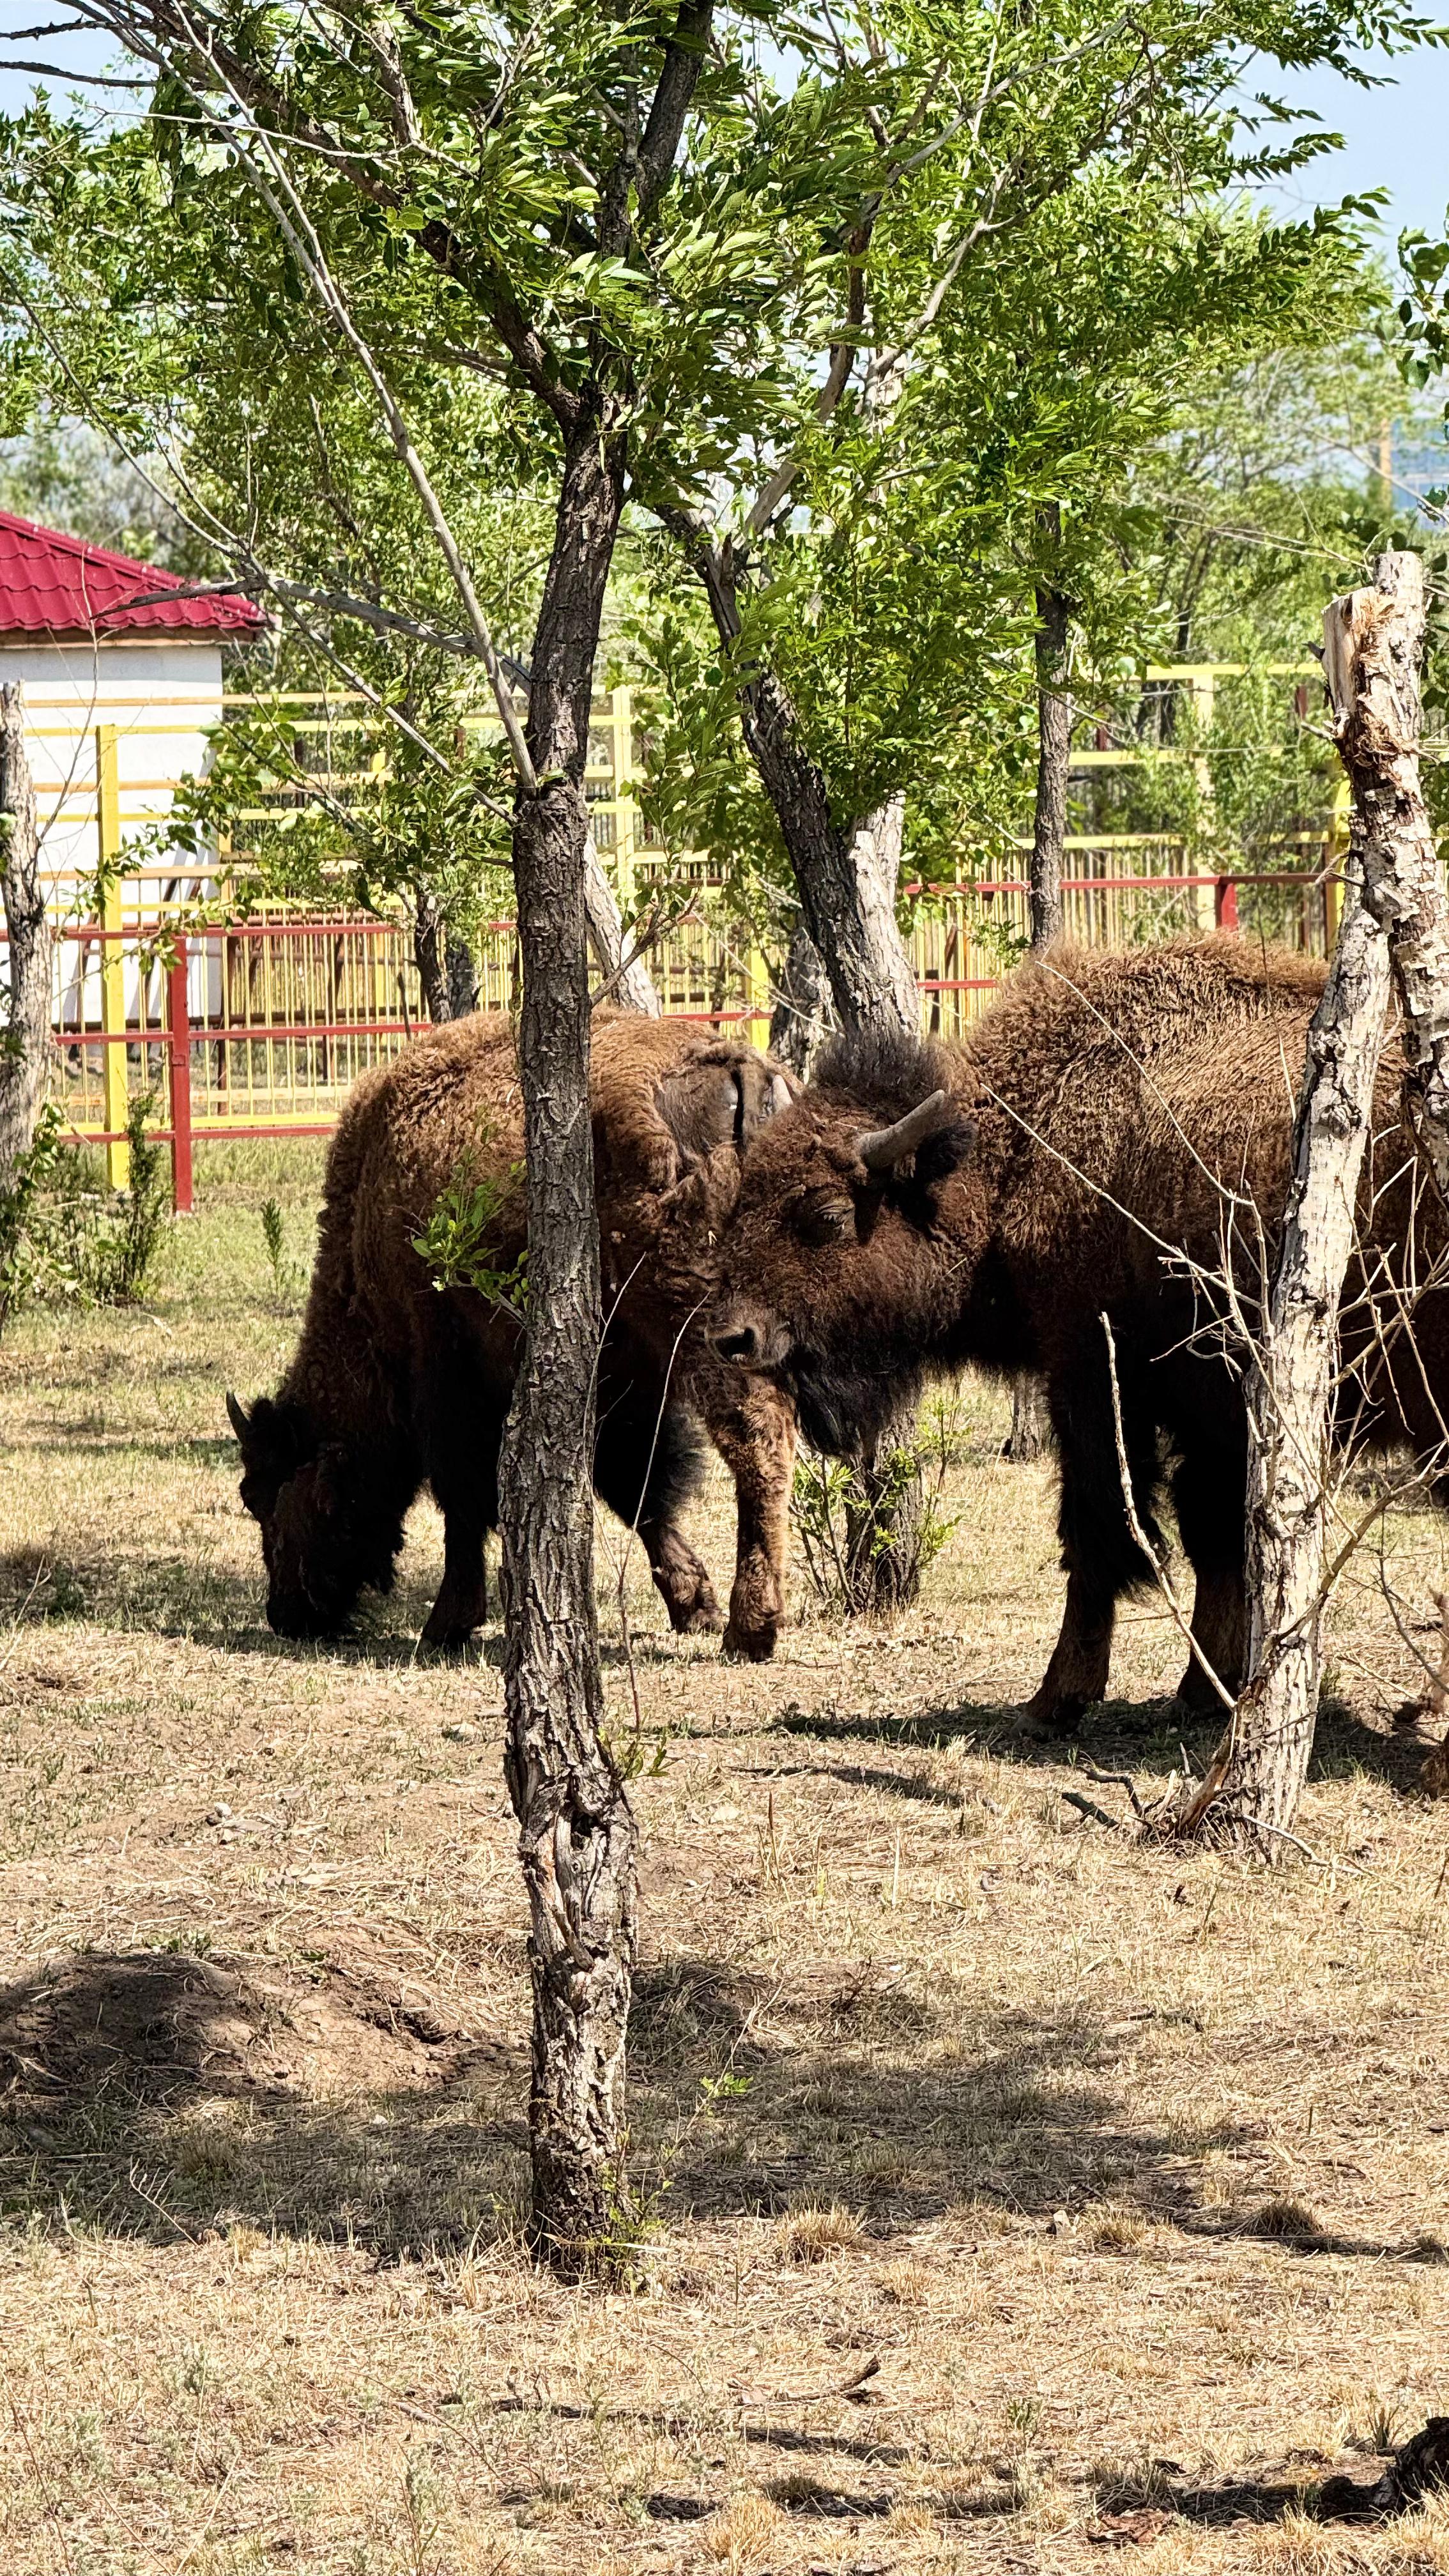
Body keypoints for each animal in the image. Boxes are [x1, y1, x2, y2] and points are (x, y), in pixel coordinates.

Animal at [229, 1010, 797, 1654]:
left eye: (262, 1495)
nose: (286, 1614)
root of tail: (742, 1069)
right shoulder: (625, 1383)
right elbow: (638, 1490)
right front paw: (691, 1605)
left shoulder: (446, 1365)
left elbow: (464, 1496)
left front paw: (446, 1625)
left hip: (710, 1332)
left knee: (759, 1437)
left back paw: (751, 1629)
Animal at [707, 936, 1448, 1727]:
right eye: (746, 1198)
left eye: (825, 1214)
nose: (734, 1337)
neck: (1018, 1152)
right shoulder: (1212, 1411)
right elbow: (1213, 1536)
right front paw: (1205, 1692)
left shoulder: (1093, 1377)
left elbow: (1100, 1531)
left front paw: (1055, 1698)